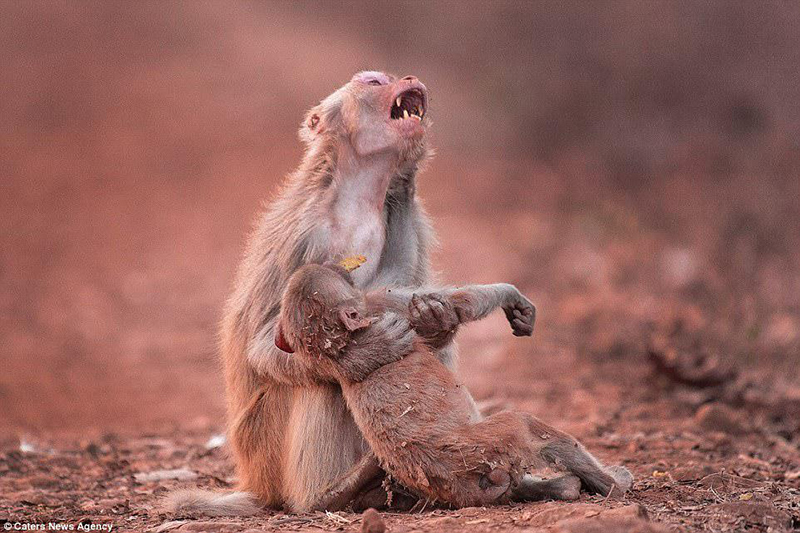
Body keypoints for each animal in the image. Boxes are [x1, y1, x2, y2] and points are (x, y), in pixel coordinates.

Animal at [166, 72, 536, 512]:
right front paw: (368, 354)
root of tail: (255, 481)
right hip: (266, 449)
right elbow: (266, 343)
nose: (407, 78)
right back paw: (328, 494)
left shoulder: (408, 222)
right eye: (374, 81)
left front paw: (437, 317)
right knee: (321, 380)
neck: (357, 197)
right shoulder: (306, 237)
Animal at [276, 262, 632, 508]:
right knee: (524, 425)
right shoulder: (380, 310)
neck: (341, 345)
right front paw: (510, 294)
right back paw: (612, 483)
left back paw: (564, 487)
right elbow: (461, 303)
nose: (339, 265)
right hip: (485, 446)